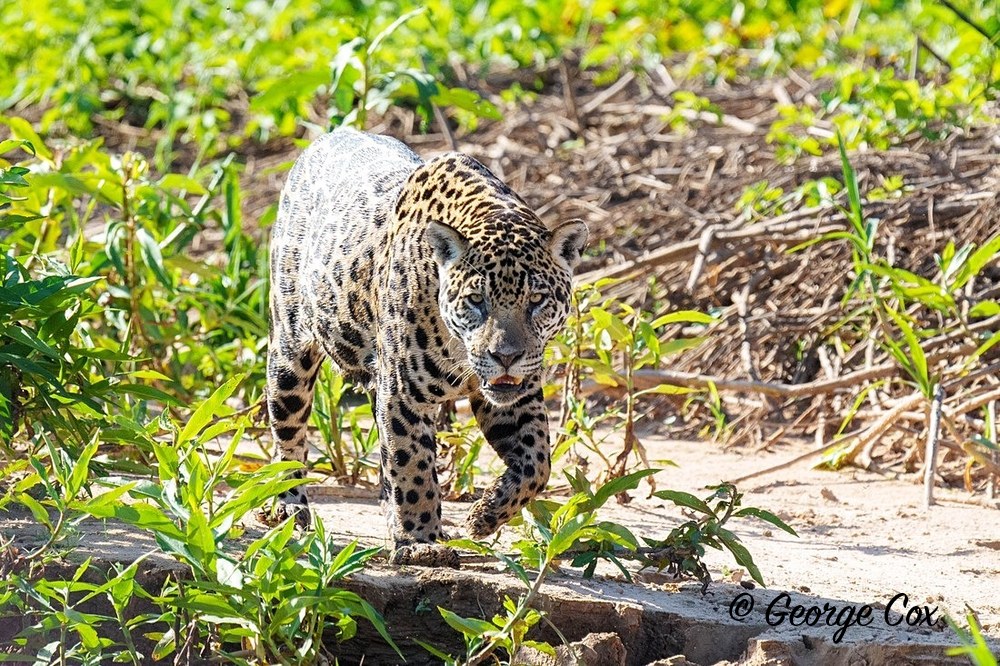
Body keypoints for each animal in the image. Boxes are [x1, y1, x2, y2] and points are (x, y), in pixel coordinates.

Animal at [266, 127, 587, 566]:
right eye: (476, 300)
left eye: (537, 300)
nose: (506, 356)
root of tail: (333, 134)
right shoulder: (403, 393)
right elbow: (412, 464)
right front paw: (421, 543)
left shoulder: (515, 396)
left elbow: (538, 461)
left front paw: (484, 516)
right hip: (290, 350)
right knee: (288, 434)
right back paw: (288, 508)